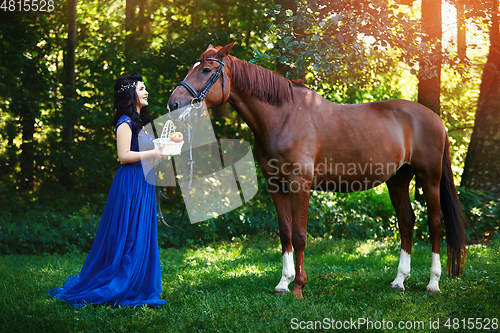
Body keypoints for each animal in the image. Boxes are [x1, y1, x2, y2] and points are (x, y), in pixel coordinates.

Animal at [167, 41, 464, 298]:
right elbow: (285, 232)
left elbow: (299, 235)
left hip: (430, 178)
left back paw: (433, 283)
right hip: (398, 180)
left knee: (435, 223)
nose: (174, 104)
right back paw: (399, 280)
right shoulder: (276, 185)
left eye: (206, 70)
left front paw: (298, 287)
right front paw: (283, 283)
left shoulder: (300, 185)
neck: (284, 117)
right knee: (406, 221)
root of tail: (435, 119)